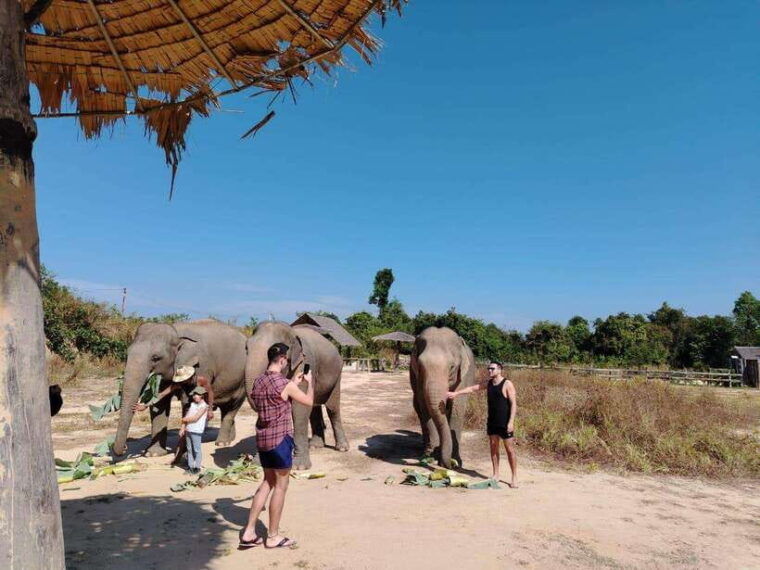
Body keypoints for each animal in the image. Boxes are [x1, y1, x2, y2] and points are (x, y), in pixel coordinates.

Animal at [113, 319, 247, 457]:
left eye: (156, 358)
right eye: (127, 354)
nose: (125, 448)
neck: (177, 333)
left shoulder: (200, 366)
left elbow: (188, 401)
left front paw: (184, 453)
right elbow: (159, 403)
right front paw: (153, 454)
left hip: (242, 382)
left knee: (232, 408)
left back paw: (221, 443)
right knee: (226, 409)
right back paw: (230, 439)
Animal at [245, 321, 349, 470]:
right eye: (246, 348)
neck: (292, 332)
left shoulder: (306, 361)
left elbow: (299, 408)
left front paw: (299, 467)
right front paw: (260, 462)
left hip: (337, 375)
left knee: (332, 408)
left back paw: (342, 448)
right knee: (314, 407)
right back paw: (315, 446)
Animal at [410, 326, 476, 468]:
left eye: (452, 367)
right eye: (420, 366)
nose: (449, 465)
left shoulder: (464, 376)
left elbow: (457, 408)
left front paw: (456, 460)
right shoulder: (417, 376)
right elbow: (425, 406)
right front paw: (431, 456)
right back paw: (425, 450)